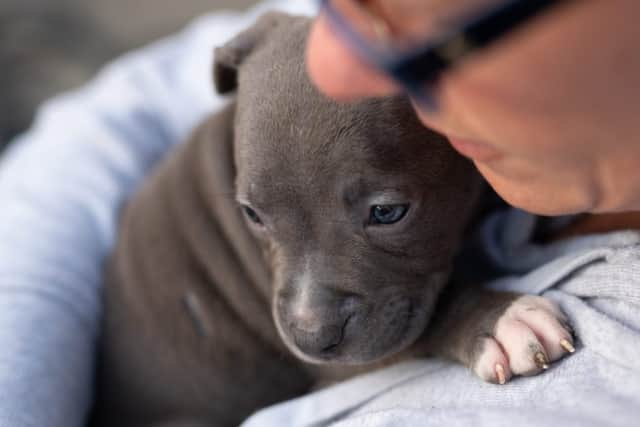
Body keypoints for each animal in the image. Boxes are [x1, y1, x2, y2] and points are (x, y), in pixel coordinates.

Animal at [92, 13, 576, 427]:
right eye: (251, 214)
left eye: (387, 213)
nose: (311, 338)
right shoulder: (343, 372)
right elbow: (421, 327)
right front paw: (499, 319)